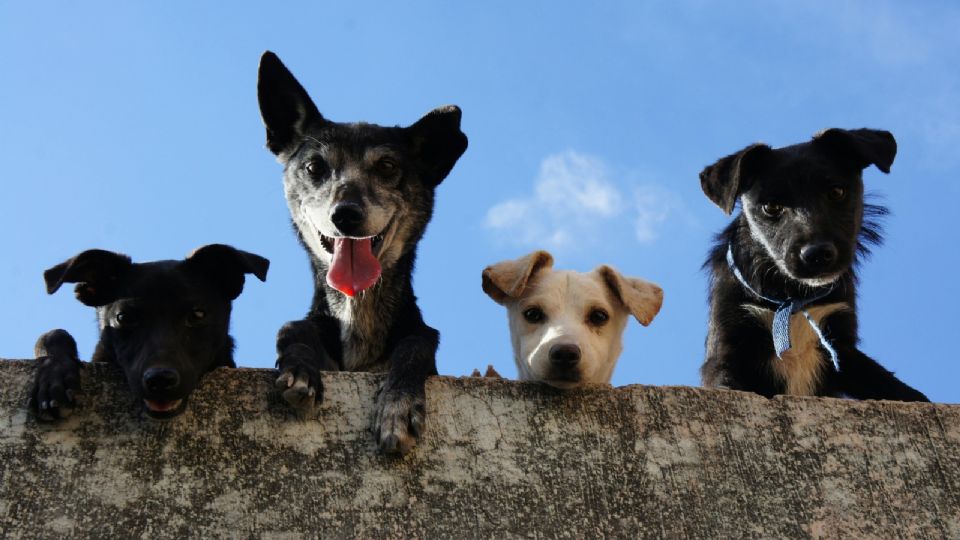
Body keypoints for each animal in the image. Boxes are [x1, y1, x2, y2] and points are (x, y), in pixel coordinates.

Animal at [253, 51, 466, 456]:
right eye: (314, 167)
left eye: (387, 166)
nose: (346, 214)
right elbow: (291, 327)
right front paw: (300, 370)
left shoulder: (419, 341)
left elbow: (416, 344)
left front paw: (398, 406)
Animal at [700, 127, 928, 400]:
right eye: (771, 206)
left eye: (836, 192)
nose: (817, 254)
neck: (793, 297)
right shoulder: (727, 347)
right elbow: (726, 384)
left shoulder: (842, 347)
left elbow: (895, 387)